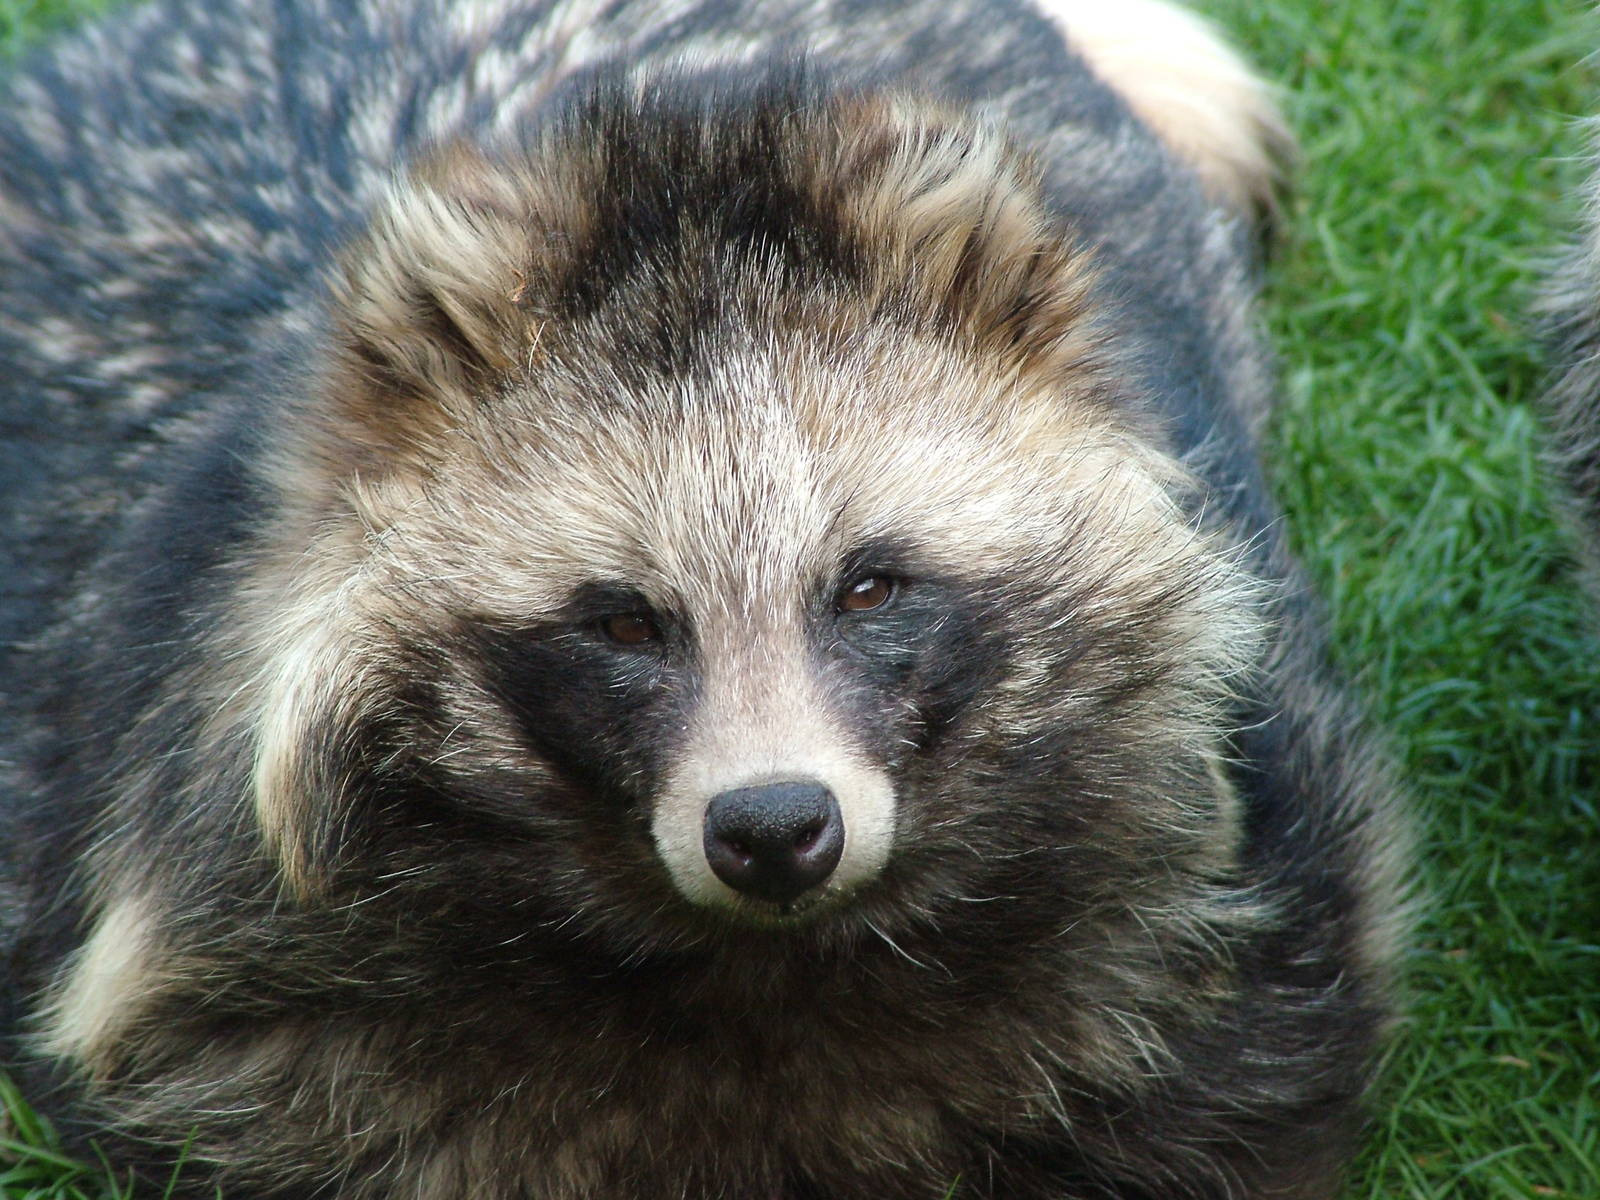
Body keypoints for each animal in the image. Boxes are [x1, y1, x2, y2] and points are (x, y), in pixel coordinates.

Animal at [0, 0, 1407, 1196]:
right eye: (623, 620)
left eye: (869, 587)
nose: (775, 826)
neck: (761, 965)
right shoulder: (233, 966)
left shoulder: (1237, 885)